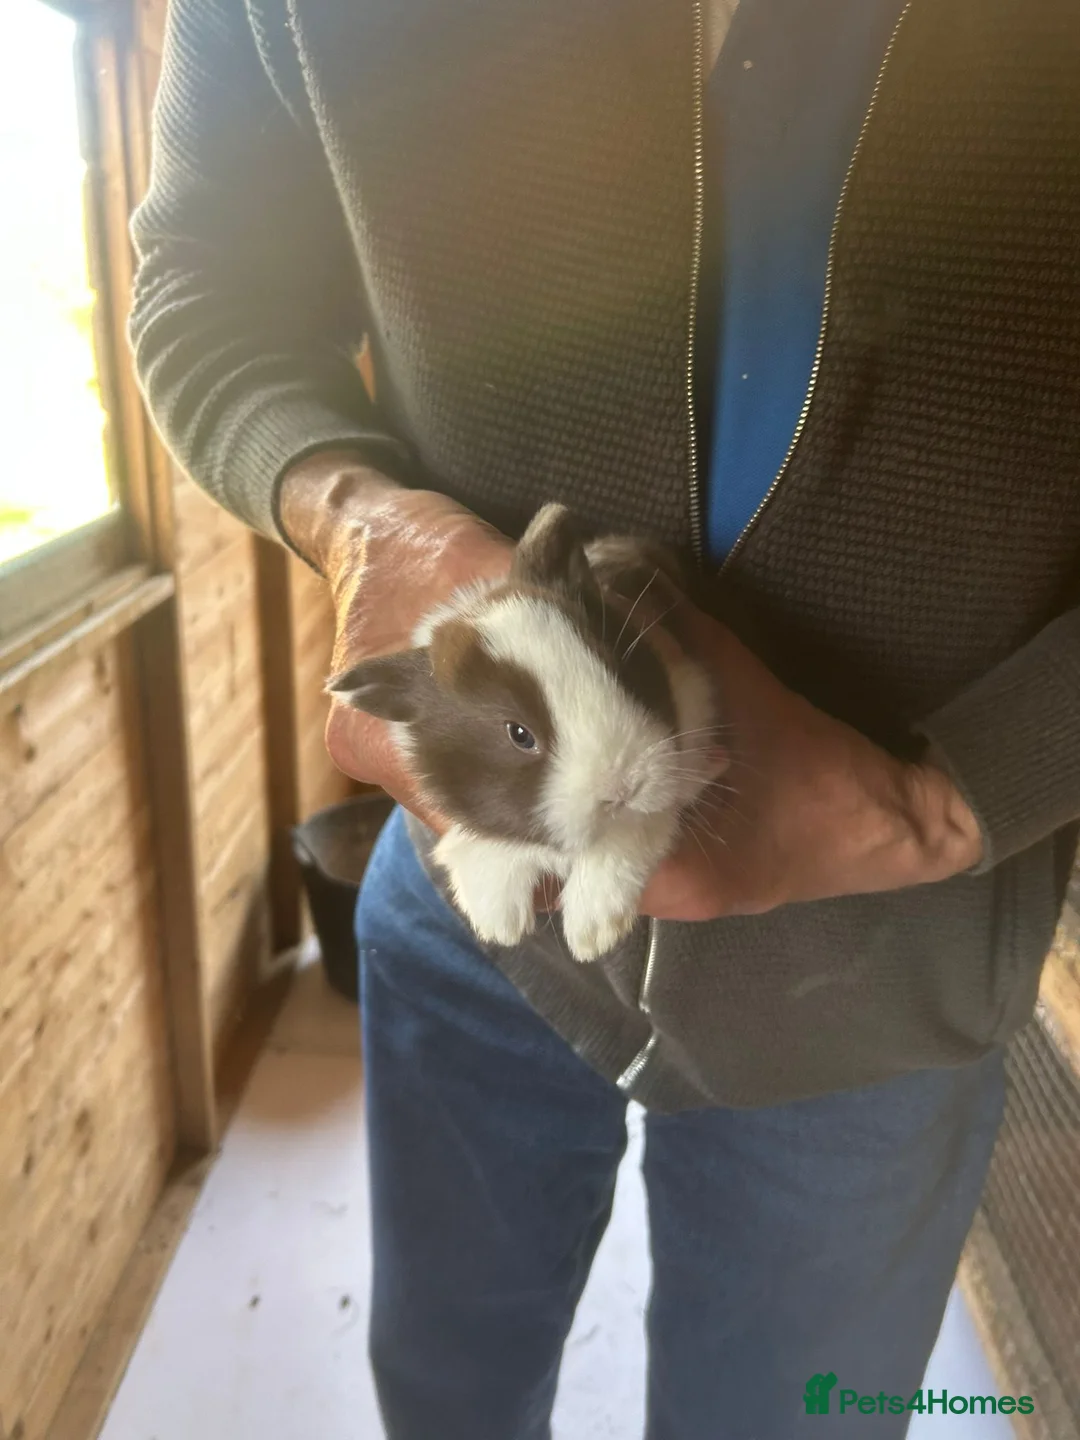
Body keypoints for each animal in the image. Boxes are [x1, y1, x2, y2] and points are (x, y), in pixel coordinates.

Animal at [326, 503, 722, 962]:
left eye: (624, 675)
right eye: (519, 734)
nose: (623, 788)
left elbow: (635, 830)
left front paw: (593, 931)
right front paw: (497, 921)